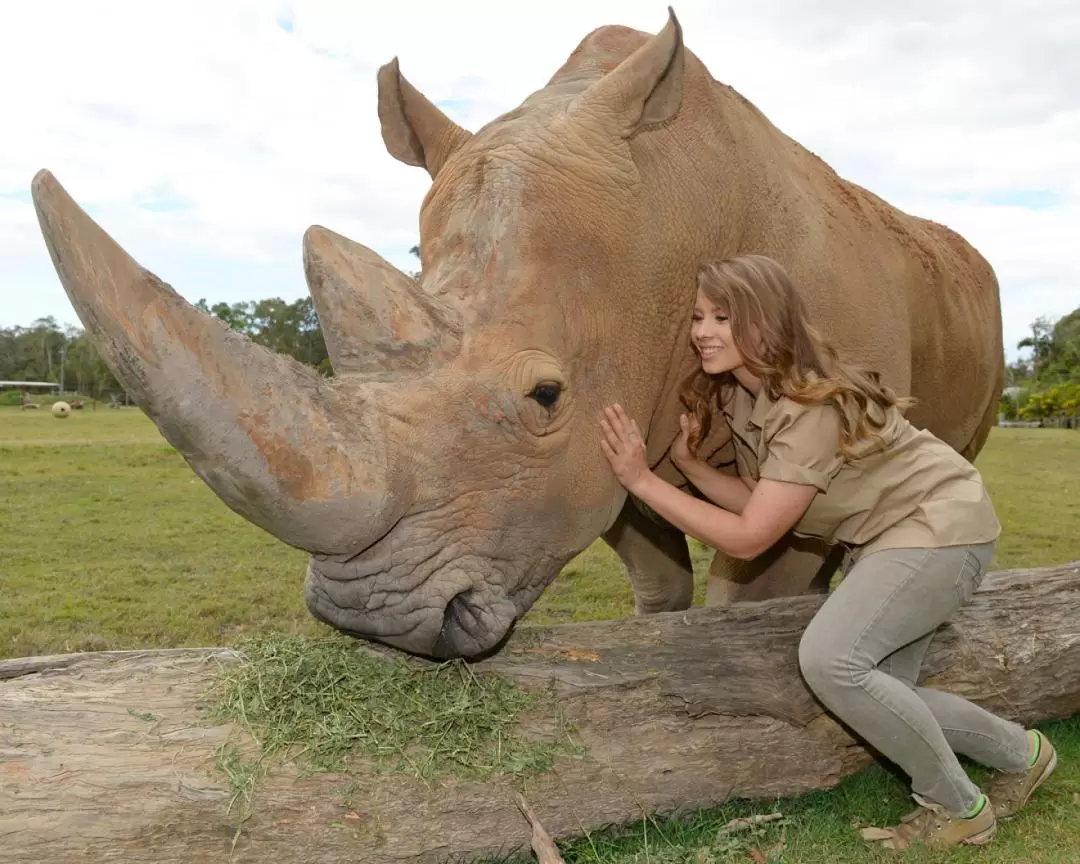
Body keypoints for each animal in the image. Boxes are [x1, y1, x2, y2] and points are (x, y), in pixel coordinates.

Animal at [31, 8, 1002, 656]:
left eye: (544, 395)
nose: (371, 623)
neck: (672, 219)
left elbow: (756, 591)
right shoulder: (620, 430)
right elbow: (656, 575)